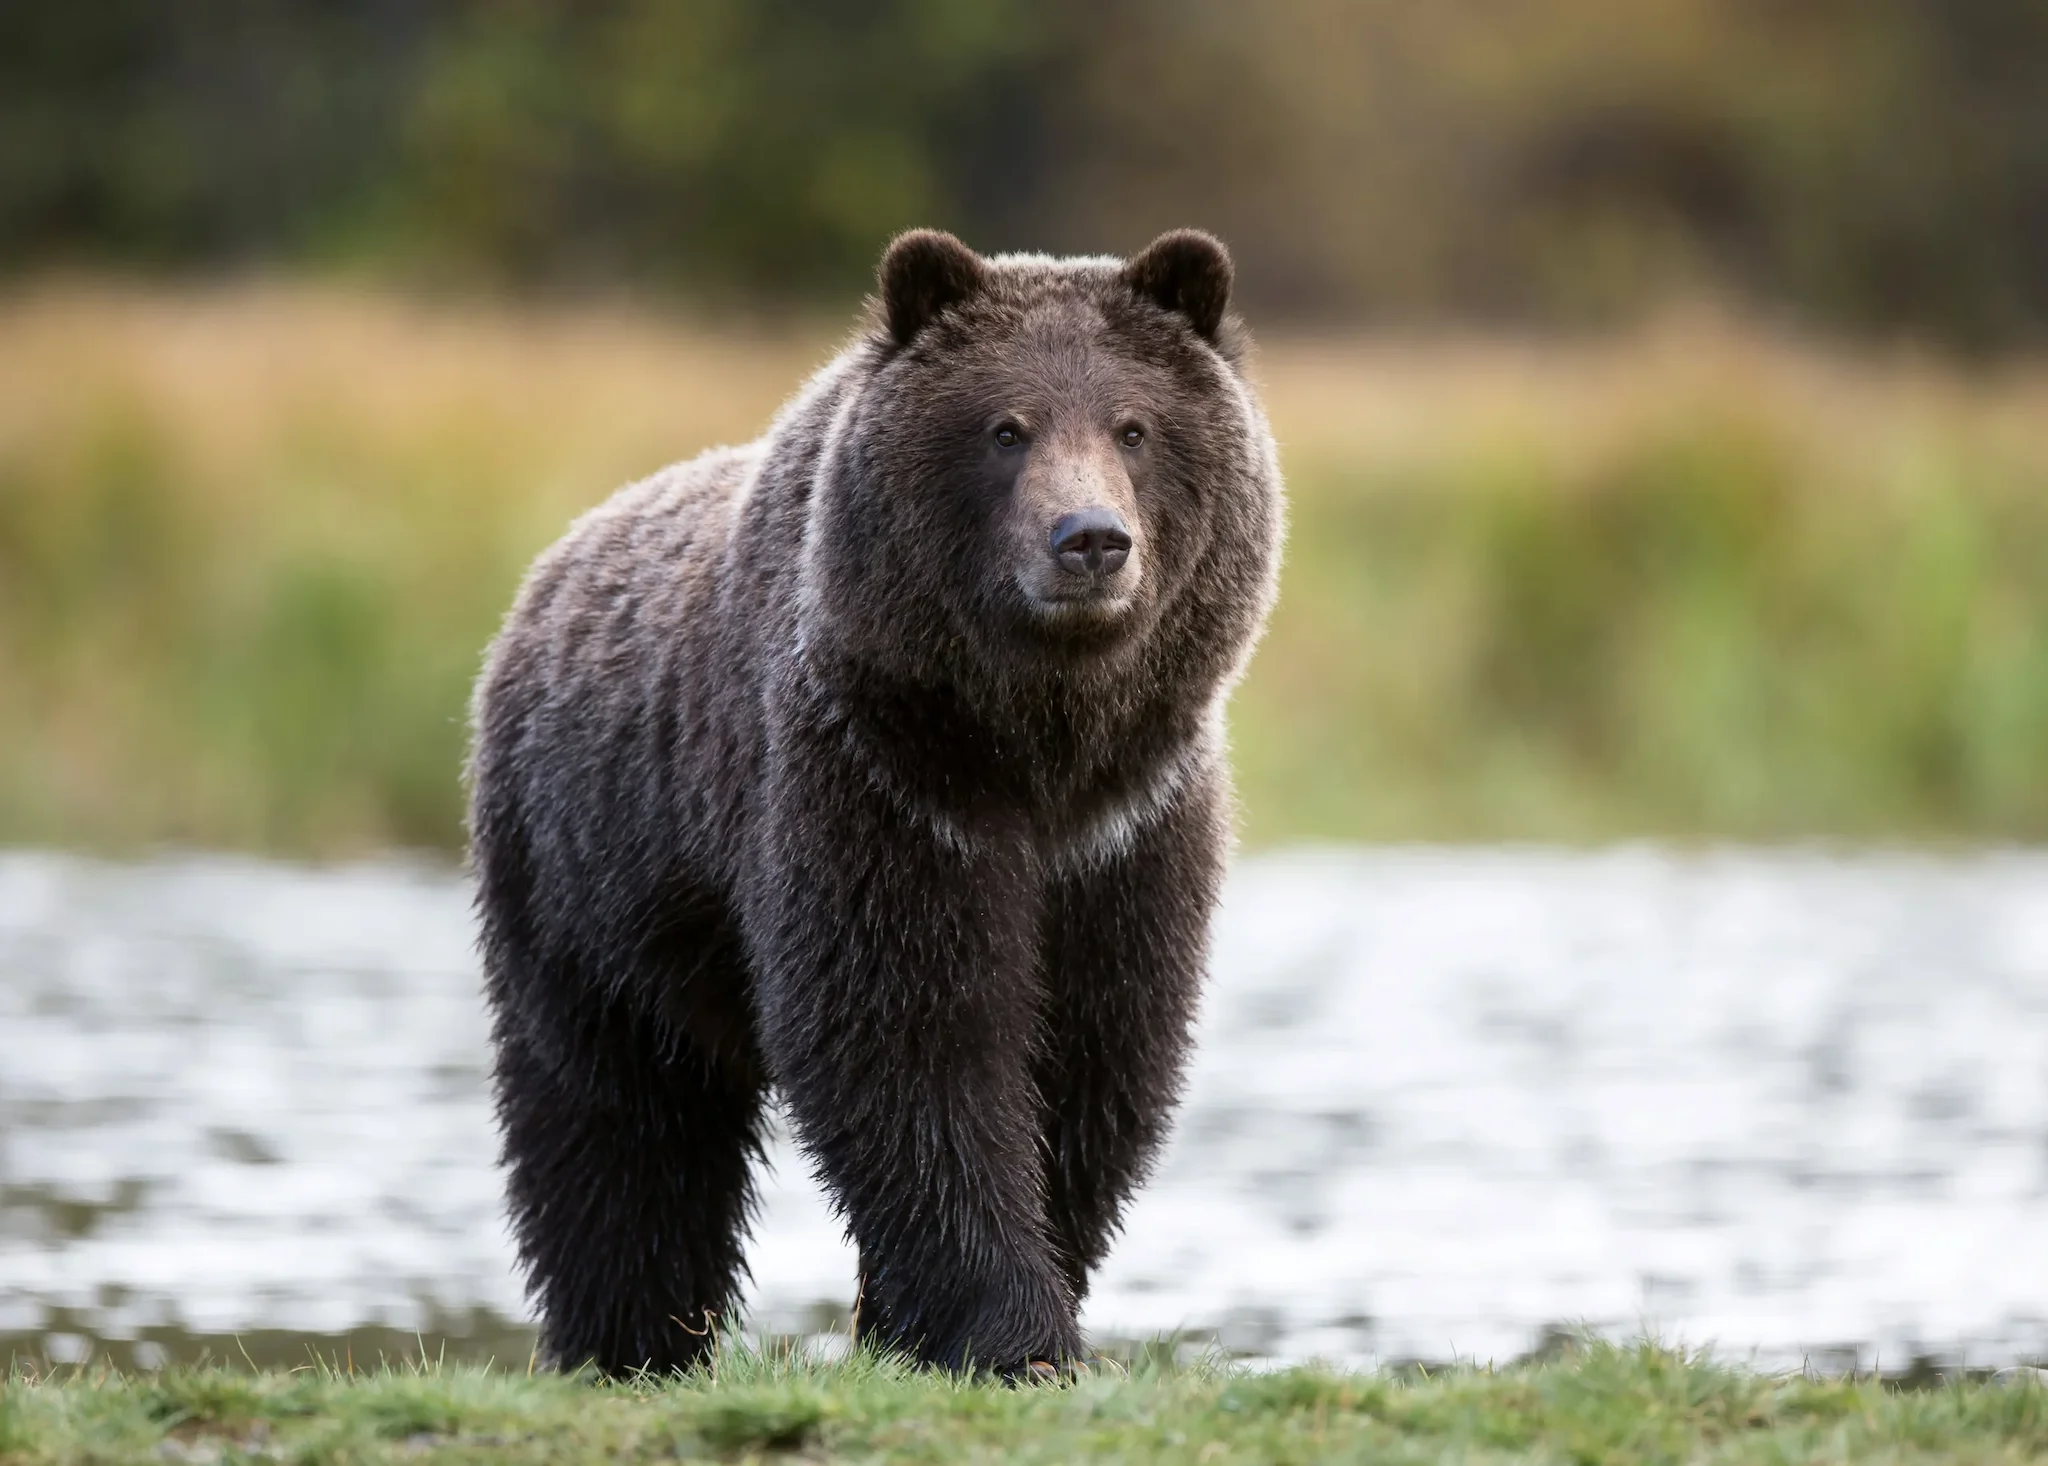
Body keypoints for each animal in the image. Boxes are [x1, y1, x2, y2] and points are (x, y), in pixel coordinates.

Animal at [466, 227, 1284, 1379]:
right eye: (1005, 427)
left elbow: (1094, 1056)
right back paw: (631, 1339)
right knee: (616, 1117)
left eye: (1134, 426)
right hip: (586, 879)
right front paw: (1009, 1328)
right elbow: (910, 1043)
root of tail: (549, 570)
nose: (1089, 539)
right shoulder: (878, 784)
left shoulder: (1128, 827)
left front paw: (933, 1322)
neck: (1033, 746)